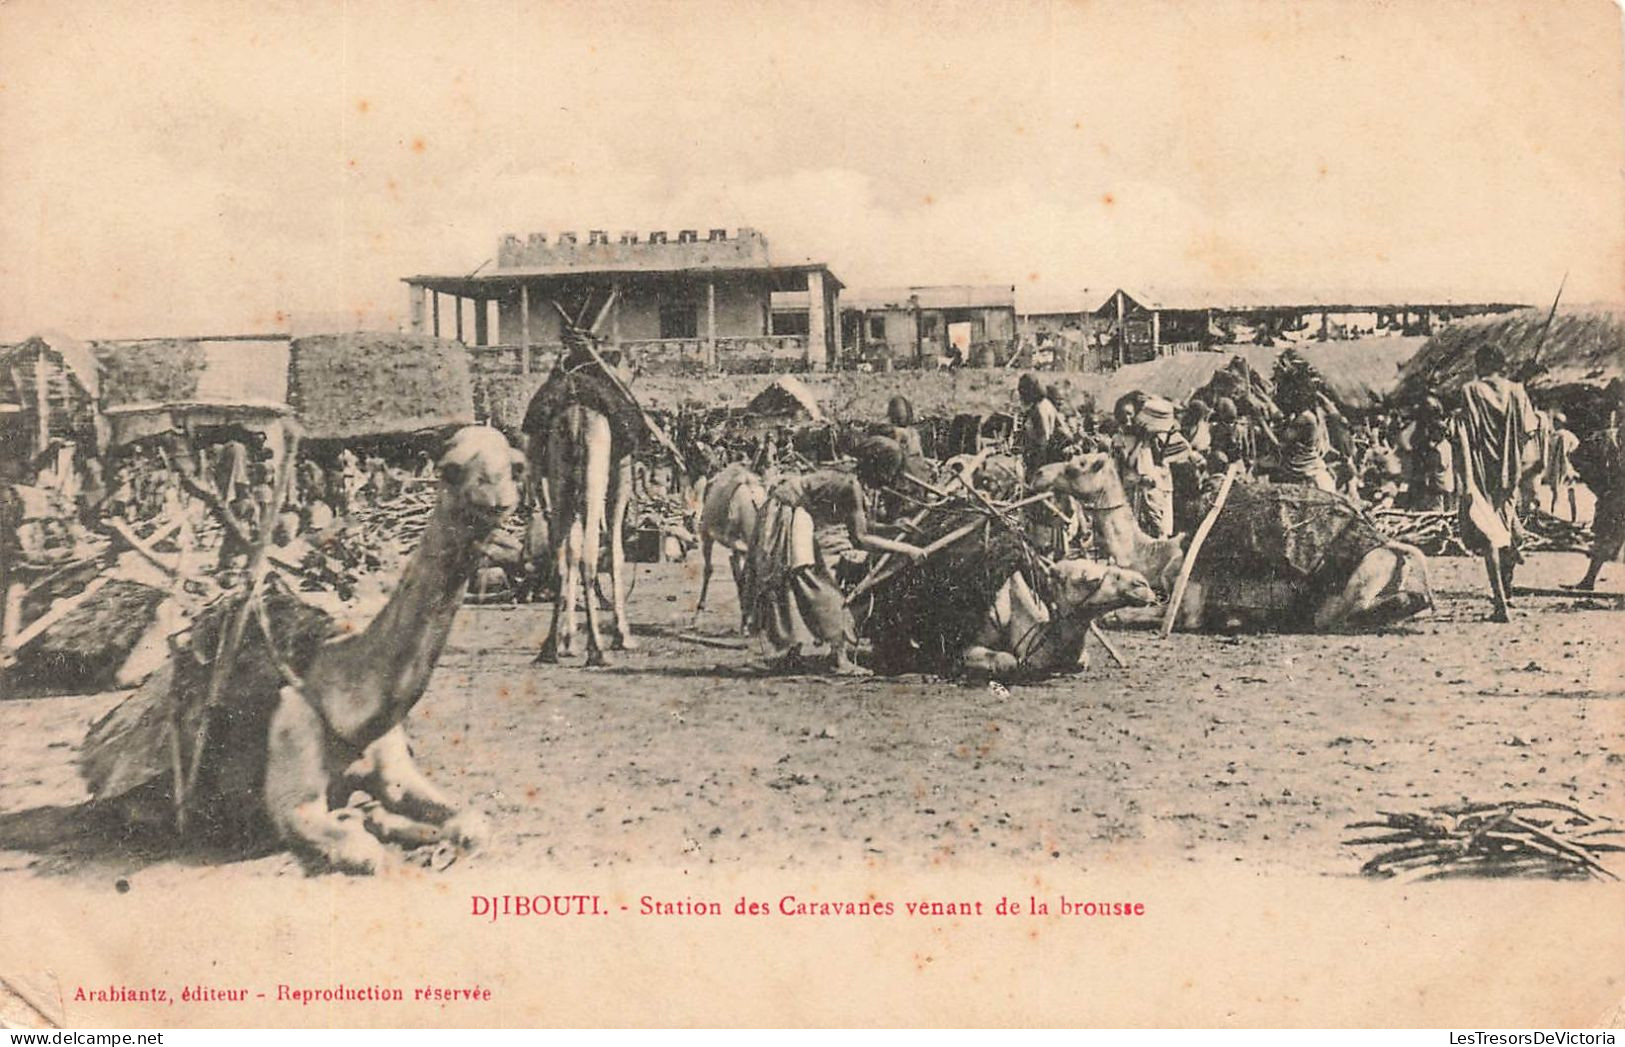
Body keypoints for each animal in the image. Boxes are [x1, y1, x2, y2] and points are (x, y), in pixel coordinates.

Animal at [1033, 448, 1430, 630]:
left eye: (1077, 466)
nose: (1038, 472)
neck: (1159, 555)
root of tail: (1387, 546)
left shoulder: (1188, 600)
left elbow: (1128, 615)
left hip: (1349, 591)